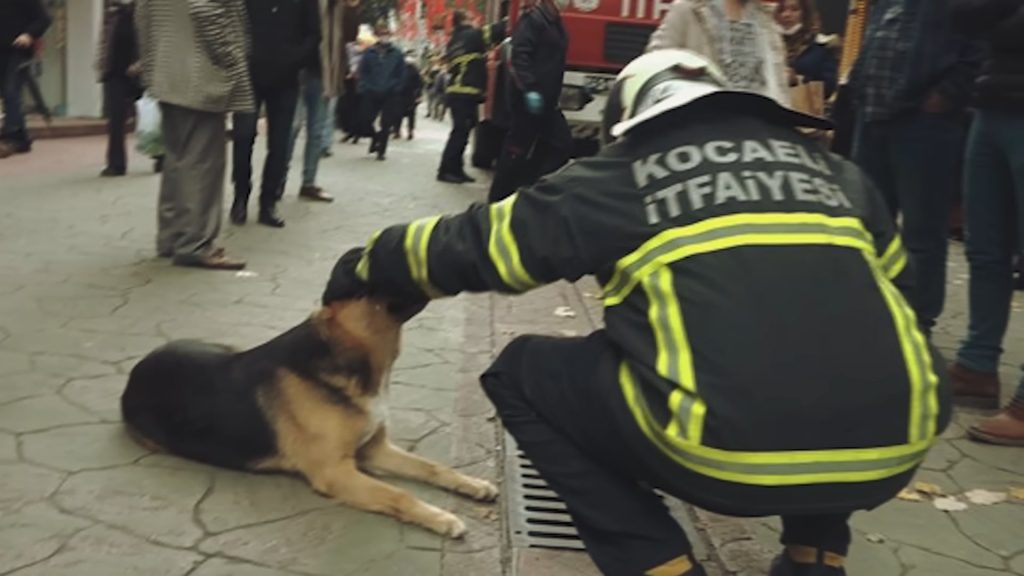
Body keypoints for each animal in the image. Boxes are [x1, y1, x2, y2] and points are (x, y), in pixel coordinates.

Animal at [121, 297, 497, 537]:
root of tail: (136, 371)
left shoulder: (374, 450)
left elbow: (433, 467)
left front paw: (472, 484)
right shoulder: (337, 471)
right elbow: (399, 495)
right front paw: (441, 517)